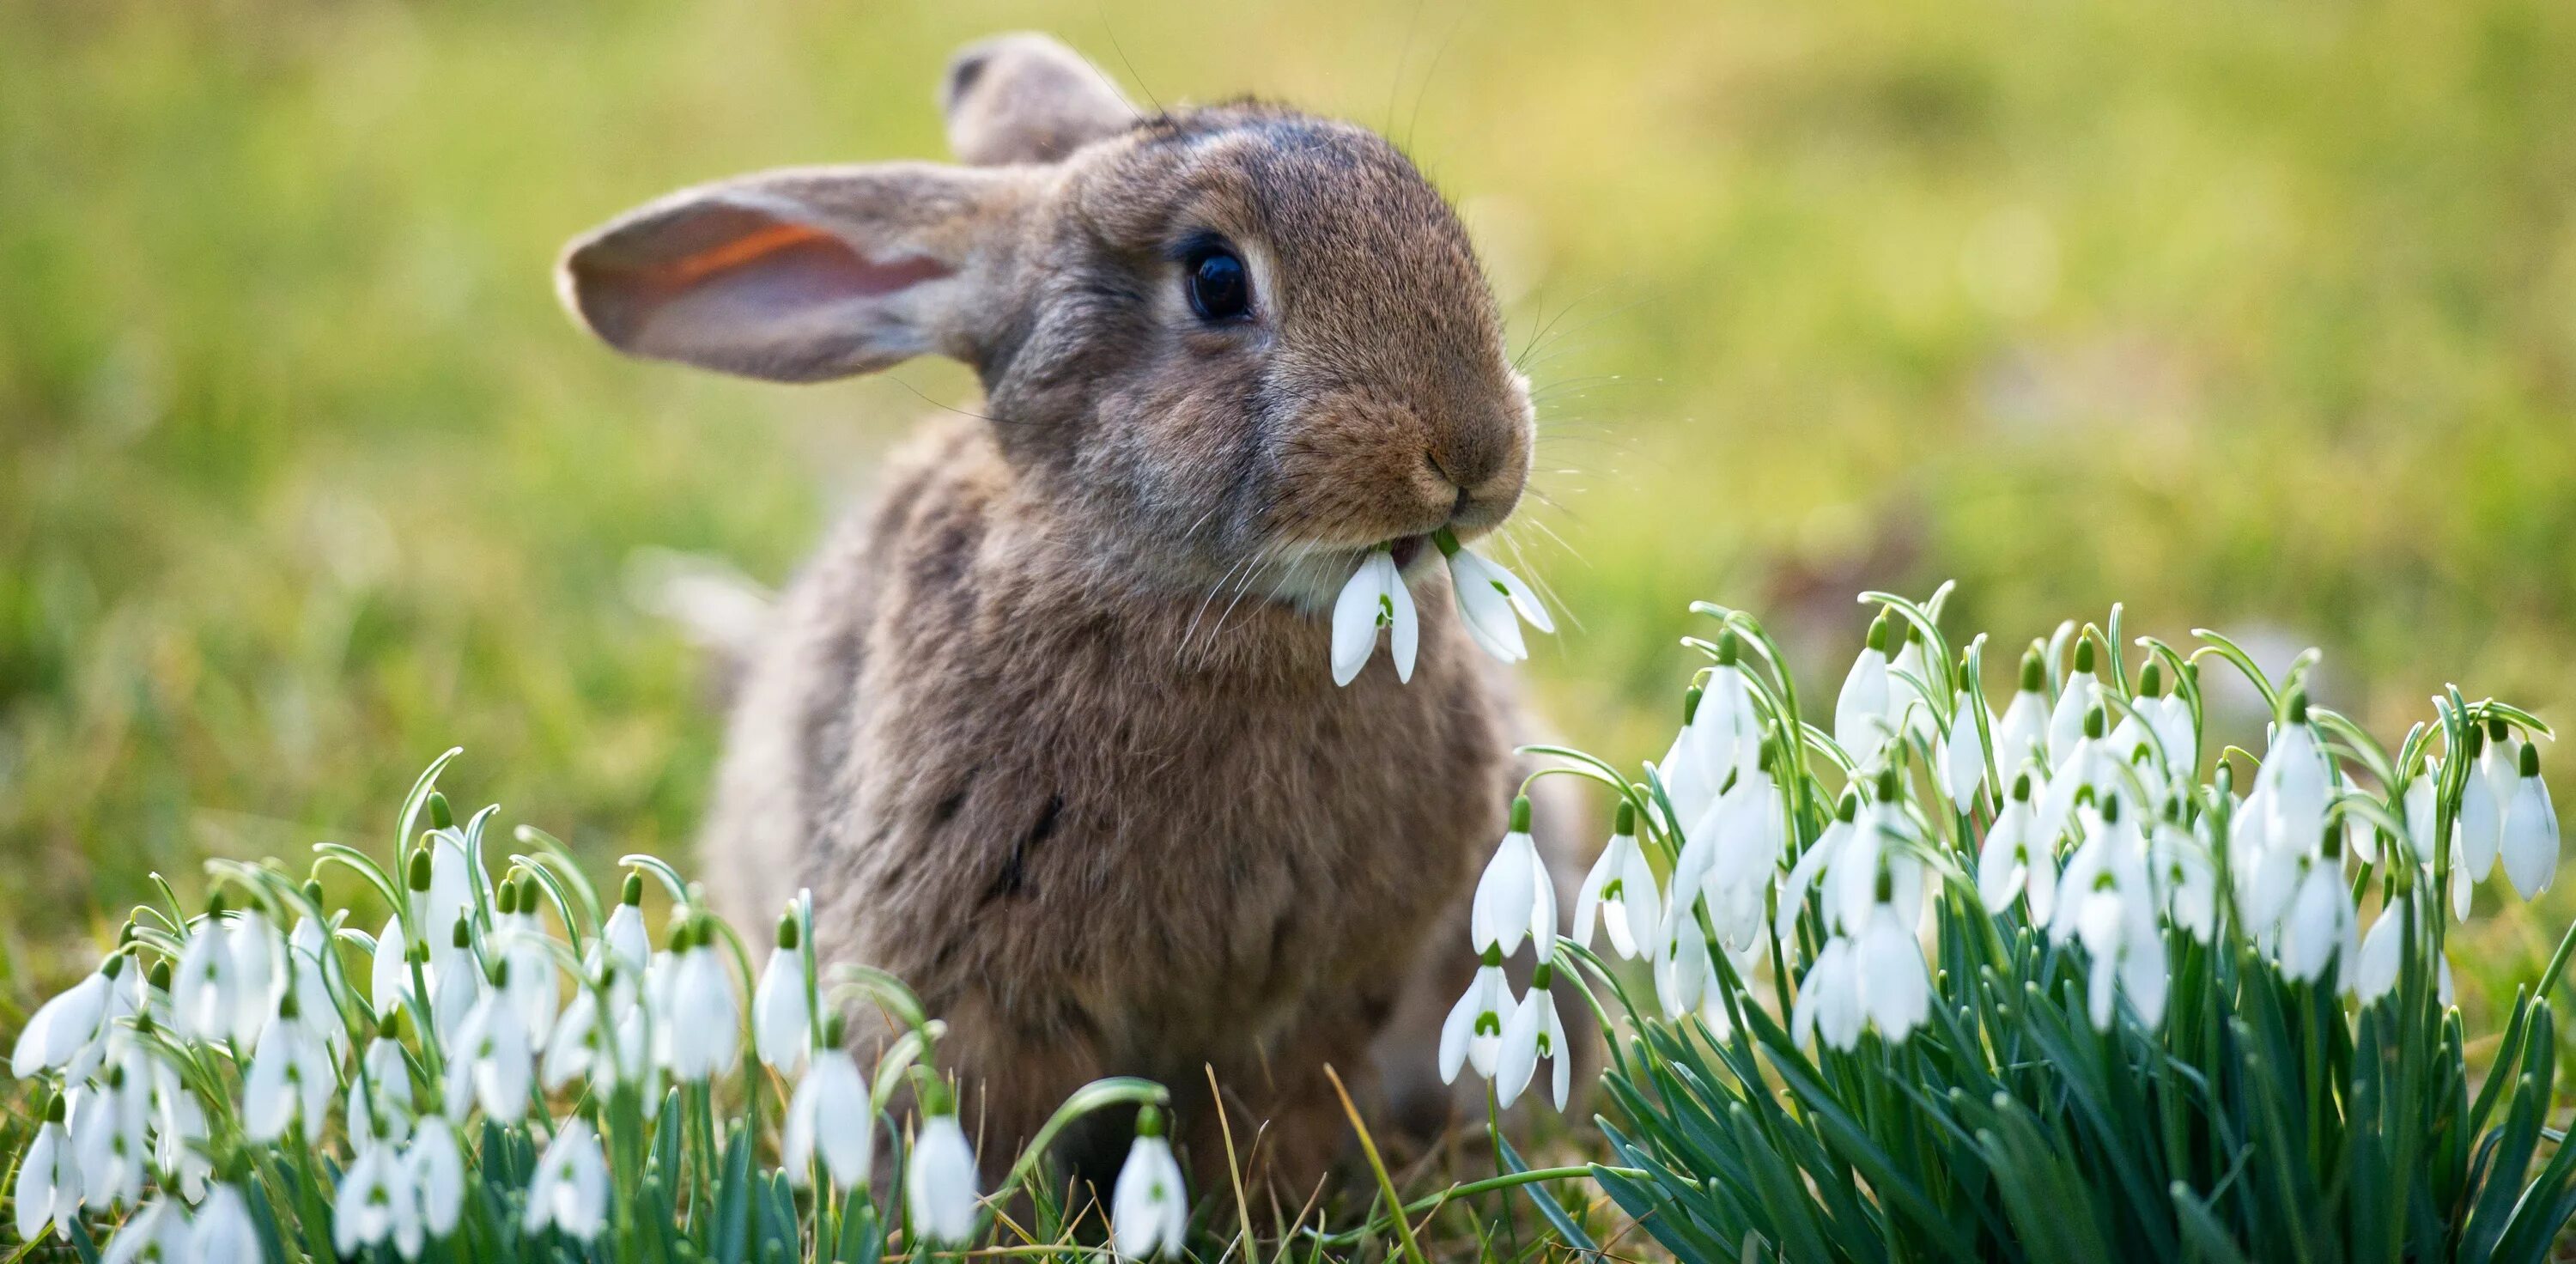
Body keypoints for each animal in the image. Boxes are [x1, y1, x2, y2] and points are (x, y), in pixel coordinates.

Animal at [554, 29, 1577, 1200]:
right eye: (1215, 280)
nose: (1477, 450)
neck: (1193, 598)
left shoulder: (1327, 998)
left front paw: (1276, 1206)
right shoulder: (969, 989)